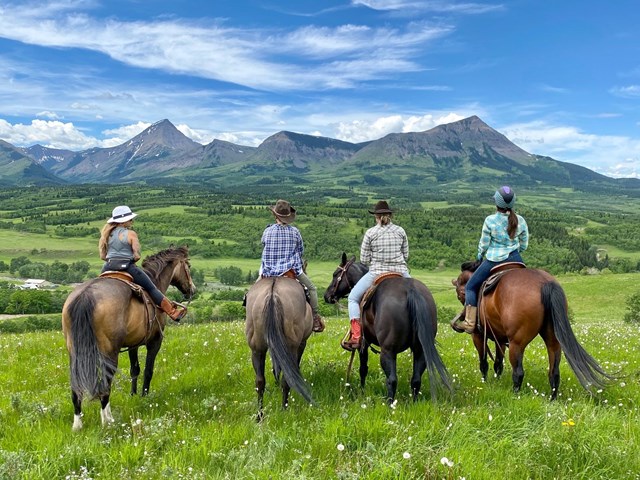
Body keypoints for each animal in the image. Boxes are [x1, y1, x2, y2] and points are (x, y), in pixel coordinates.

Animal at [64, 246, 198, 430]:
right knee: (105, 383)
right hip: (109, 352)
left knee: (76, 386)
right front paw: (145, 396)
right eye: (188, 266)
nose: (192, 289)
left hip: (75, 352)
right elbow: (148, 370)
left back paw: (77, 424)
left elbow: (134, 370)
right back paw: (107, 420)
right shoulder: (154, 341)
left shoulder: (133, 344)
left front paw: (133, 395)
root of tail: (86, 295)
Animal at [245, 278, 312, 420]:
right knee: (286, 379)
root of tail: (272, 294)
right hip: (291, 348)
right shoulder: (301, 344)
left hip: (257, 349)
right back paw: (284, 409)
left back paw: (260, 415)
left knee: (260, 381)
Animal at [324, 253, 450, 404]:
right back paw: (413, 403)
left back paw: (390, 405)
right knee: (416, 380)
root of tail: (410, 291)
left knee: (392, 380)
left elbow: (363, 369)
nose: (327, 296)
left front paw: (361, 391)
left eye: (335, 274)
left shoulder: (363, 344)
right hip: (420, 349)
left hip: (388, 351)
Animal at [452, 260, 612, 400]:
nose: (463, 315)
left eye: (460, 292)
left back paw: (515, 395)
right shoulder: (500, 340)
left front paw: (485, 383)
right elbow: (498, 363)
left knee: (518, 372)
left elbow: (484, 363)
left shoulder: (478, 336)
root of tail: (545, 283)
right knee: (554, 372)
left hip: (517, 344)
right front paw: (496, 382)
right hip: (553, 340)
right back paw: (552, 399)